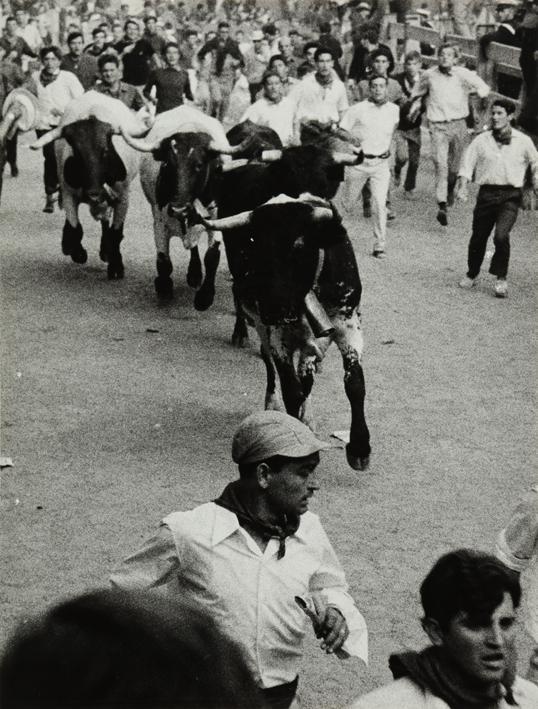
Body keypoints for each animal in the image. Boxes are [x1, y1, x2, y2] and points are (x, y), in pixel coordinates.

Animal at [31, 93, 149, 280]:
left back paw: (105, 251)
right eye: (77, 153)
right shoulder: (69, 194)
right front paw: (76, 251)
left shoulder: (122, 197)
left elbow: (116, 233)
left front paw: (116, 265)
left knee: (106, 221)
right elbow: (75, 228)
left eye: (106, 151)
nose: (94, 194)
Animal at [120, 105, 250, 306]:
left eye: (199, 165)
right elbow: (163, 260)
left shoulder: (217, 218)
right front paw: (164, 287)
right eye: (167, 164)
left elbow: (212, 256)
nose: (179, 209)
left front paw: (205, 296)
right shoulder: (159, 221)